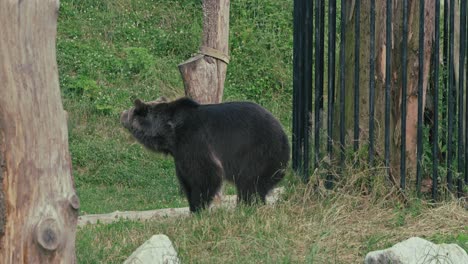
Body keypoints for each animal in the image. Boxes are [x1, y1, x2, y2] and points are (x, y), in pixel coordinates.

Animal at [120, 97, 288, 212]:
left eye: (131, 111)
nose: (121, 114)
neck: (170, 134)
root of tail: (283, 133)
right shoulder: (180, 153)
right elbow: (186, 178)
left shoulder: (194, 140)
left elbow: (204, 174)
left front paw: (198, 207)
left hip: (258, 152)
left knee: (250, 182)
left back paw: (247, 205)